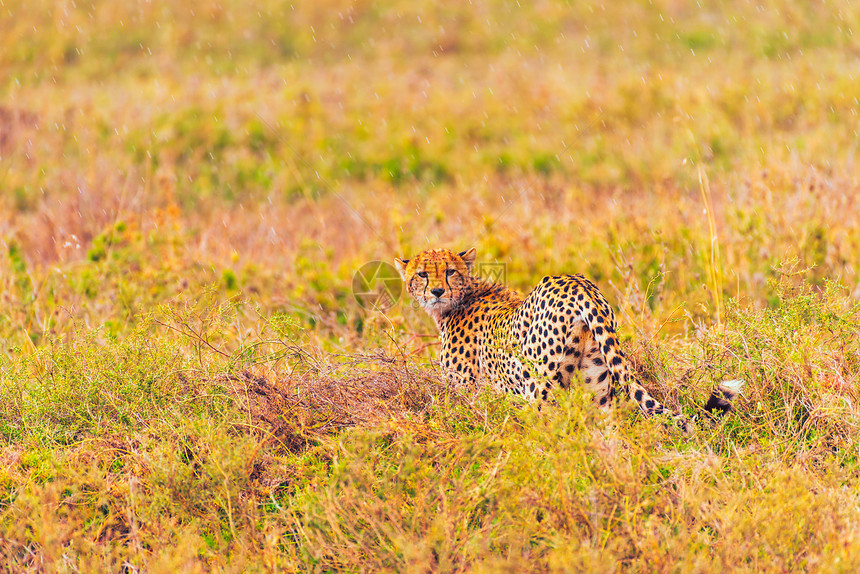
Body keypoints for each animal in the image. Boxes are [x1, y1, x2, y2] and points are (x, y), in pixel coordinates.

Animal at [396, 250, 740, 430]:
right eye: (423, 274)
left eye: (450, 271)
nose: (437, 291)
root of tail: (577, 284)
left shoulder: (467, 394)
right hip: (597, 386)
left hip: (540, 390)